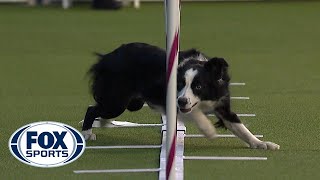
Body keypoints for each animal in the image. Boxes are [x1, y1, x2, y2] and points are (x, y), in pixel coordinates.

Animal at [81, 41, 278, 150]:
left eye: (198, 86)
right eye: (180, 85)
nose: (182, 100)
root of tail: (106, 57)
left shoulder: (221, 104)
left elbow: (240, 127)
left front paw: (262, 144)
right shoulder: (173, 101)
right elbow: (195, 113)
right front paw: (208, 130)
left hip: (130, 103)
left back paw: (104, 124)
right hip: (117, 102)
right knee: (92, 109)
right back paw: (87, 134)